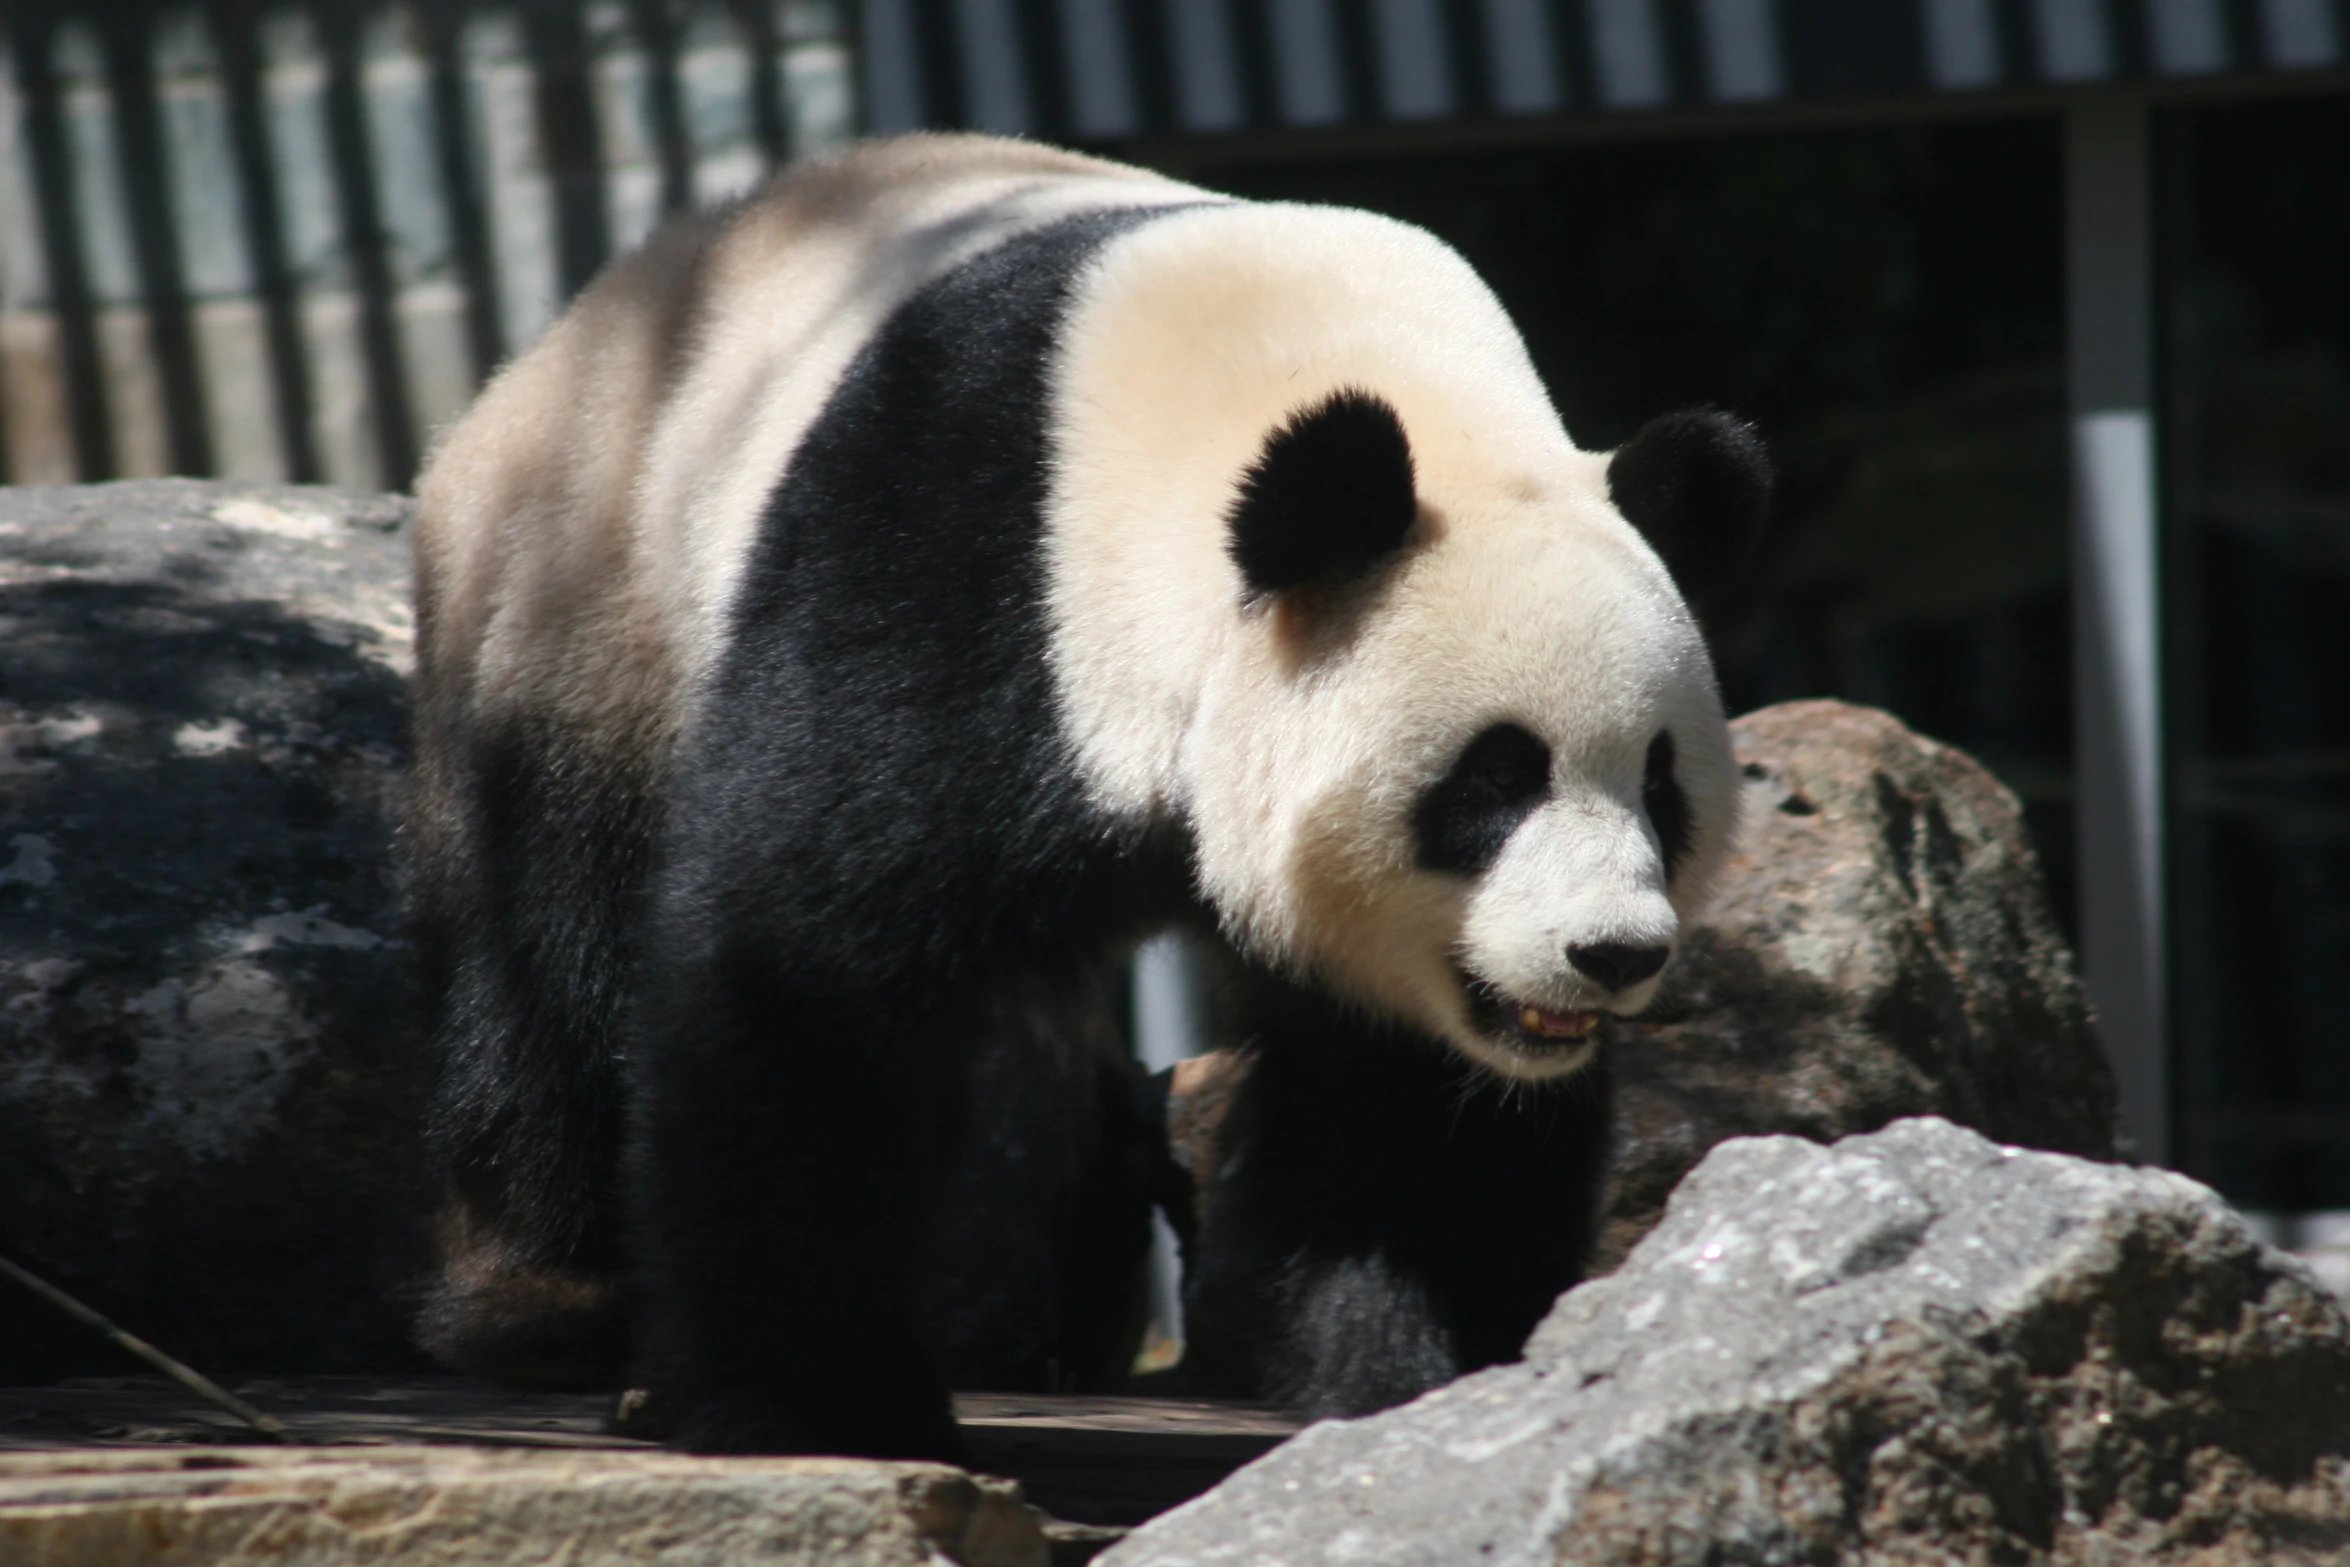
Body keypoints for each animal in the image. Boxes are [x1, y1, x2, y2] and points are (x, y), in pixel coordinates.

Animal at [404, 128, 1767, 1465]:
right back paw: (550, 1307)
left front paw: (1430, 1374)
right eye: (1494, 776)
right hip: (593, 600)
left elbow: (1411, 1100)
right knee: (561, 939)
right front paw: (815, 1402)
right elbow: (800, 958)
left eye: (1660, 786)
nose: (1611, 953)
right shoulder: (959, 559)